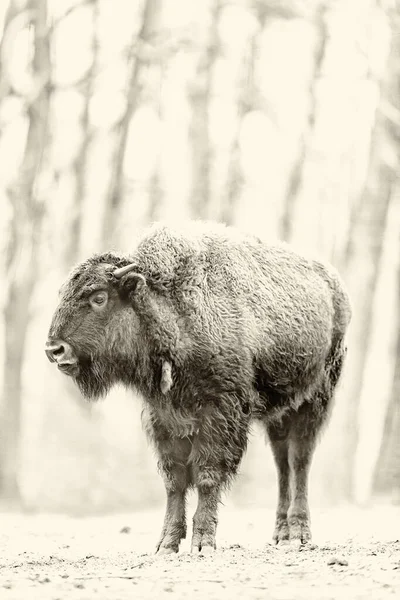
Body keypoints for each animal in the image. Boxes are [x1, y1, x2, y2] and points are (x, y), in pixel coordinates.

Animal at [44, 220, 350, 552]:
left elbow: (207, 473)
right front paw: (167, 543)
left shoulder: (221, 413)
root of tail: (336, 287)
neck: (173, 309)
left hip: (315, 400)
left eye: (99, 297)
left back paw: (300, 533)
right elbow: (174, 480)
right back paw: (281, 534)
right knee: (283, 463)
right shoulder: (163, 418)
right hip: (279, 413)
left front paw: (203, 542)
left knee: (300, 460)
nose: (54, 349)